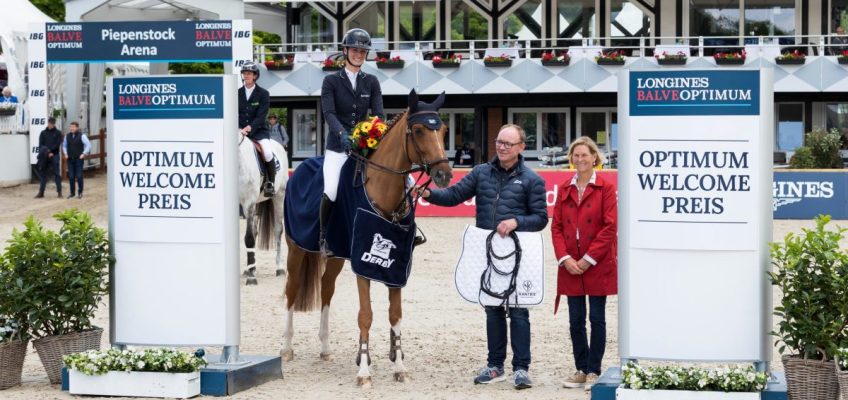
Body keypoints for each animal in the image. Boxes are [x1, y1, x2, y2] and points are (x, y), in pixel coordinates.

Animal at [238, 134, 288, 284]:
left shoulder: (248, 202)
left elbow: (248, 238)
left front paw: (252, 279)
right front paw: (250, 271)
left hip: (279, 196)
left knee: (278, 230)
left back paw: (279, 269)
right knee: (255, 231)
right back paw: (249, 268)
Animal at [282, 90, 454, 388]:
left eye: (443, 130)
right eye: (419, 130)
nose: (444, 175)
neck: (385, 191)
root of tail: (302, 168)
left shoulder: (396, 266)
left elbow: (395, 314)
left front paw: (399, 365)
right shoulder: (363, 264)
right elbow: (366, 315)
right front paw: (364, 370)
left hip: (337, 254)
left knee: (326, 288)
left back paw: (325, 348)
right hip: (296, 248)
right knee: (291, 290)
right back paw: (287, 348)